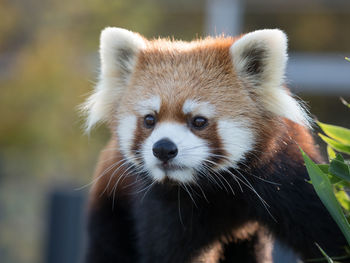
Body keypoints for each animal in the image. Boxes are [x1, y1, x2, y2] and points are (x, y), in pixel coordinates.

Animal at [81, 27, 348, 262]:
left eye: (199, 121)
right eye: (150, 119)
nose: (163, 149)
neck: (215, 187)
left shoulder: (289, 179)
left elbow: (328, 231)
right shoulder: (161, 207)